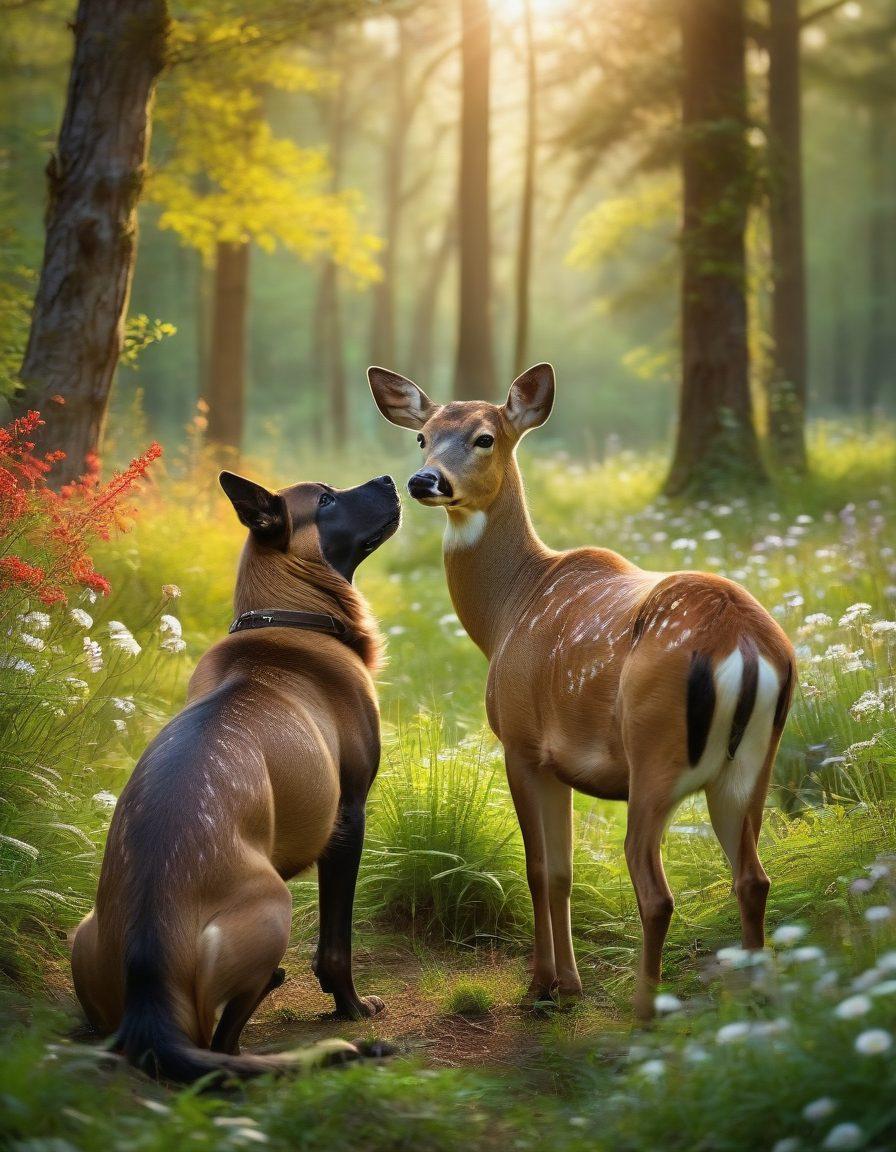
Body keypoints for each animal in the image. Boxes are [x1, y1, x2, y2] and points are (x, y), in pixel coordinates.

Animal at [369, 362, 795, 1018]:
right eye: (422, 437)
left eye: (484, 437)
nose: (424, 480)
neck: (506, 613)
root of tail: (746, 646)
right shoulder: (561, 761)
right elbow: (565, 870)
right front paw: (568, 982)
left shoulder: (520, 742)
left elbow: (539, 868)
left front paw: (544, 983)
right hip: (750, 769)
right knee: (753, 878)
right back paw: (757, 1003)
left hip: (654, 753)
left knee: (656, 893)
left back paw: (644, 1010)